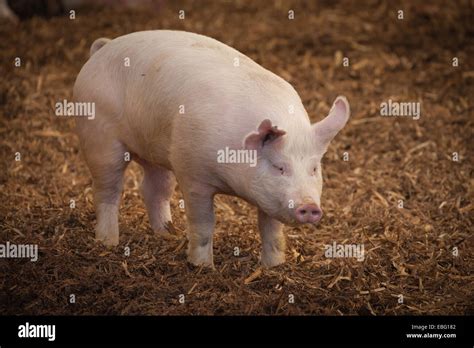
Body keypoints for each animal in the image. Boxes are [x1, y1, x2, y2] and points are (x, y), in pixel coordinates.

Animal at [73, 30, 348, 270]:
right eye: (279, 167)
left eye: (314, 168)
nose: (310, 207)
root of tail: (103, 48)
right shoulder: (192, 174)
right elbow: (204, 223)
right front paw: (203, 267)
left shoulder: (267, 197)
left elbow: (271, 229)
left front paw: (274, 267)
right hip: (99, 137)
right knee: (107, 190)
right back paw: (108, 241)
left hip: (159, 151)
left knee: (153, 189)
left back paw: (167, 234)